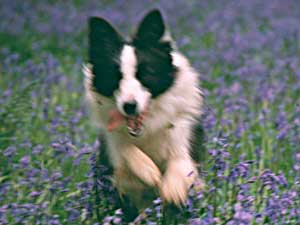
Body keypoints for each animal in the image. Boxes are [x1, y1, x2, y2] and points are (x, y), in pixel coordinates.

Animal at [83, 8, 205, 218]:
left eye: (145, 74)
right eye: (115, 77)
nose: (129, 106)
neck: (147, 127)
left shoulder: (183, 134)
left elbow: (180, 161)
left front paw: (172, 189)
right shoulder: (112, 143)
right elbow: (123, 147)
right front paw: (148, 171)